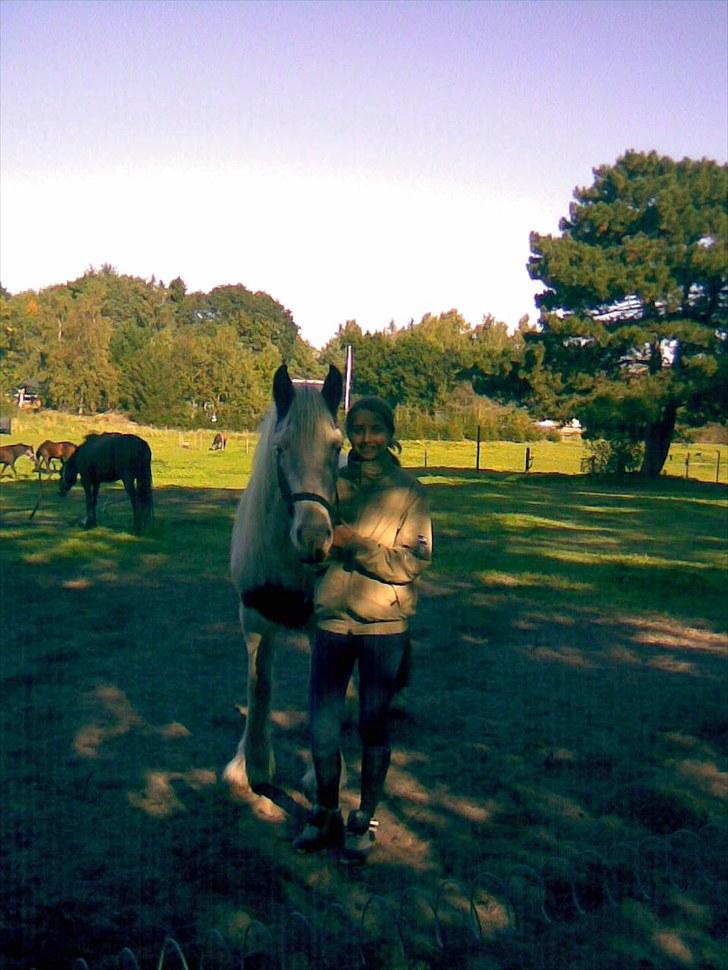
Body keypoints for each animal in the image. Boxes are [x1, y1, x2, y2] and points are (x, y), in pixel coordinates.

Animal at [225, 364, 344, 800]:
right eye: (280, 449)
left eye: (336, 447)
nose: (314, 539)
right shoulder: (254, 617)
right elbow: (258, 686)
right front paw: (252, 767)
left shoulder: (324, 627)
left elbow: (324, 695)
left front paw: (322, 774)